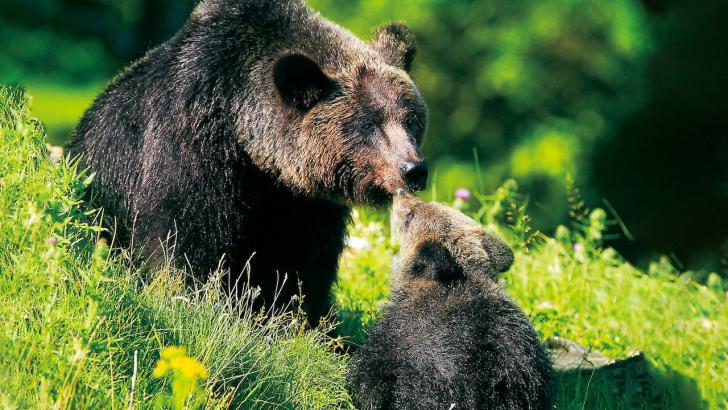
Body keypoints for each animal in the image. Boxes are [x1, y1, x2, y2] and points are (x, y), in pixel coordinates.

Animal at [66, 0, 430, 326]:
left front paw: (303, 320)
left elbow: (303, 266)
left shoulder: (305, 203)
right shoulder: (191, 150)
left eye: (411, 119)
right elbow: (184, 243)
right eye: (369, 124)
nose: (414, 169)